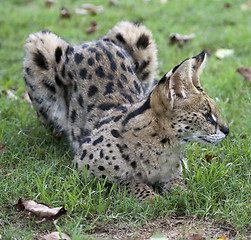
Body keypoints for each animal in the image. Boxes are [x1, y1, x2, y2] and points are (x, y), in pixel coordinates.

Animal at [22, 21, 228, 201]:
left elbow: (180, 186)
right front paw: (152, 198)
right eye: (207, 116)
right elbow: (129, 183)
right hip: (42, 48)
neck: (166, 147)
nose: (227, 130)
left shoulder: (173, 174)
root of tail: (92, 42)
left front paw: (186, 195)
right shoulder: (84, 166)